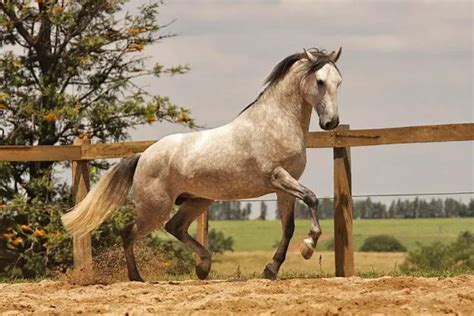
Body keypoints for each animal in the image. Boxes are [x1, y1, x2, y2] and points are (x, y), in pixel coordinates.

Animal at [63, 45, 344, 280]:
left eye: (338, 82)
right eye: (320, 81)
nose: (331, 123)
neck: (276, 123)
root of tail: (143, 156)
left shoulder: (283, 187)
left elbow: (288, 227)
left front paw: (271, 269)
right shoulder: (277, 176)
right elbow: (312, 198)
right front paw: (309, 247)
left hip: (198, 200)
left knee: (174, 227)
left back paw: (203, 266)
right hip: (155, 208)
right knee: (129, 232)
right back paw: (137, 277)